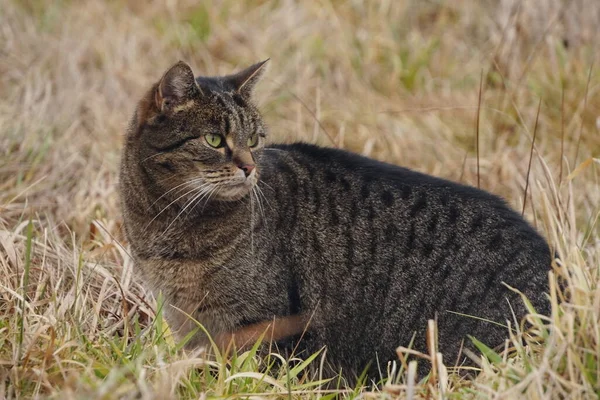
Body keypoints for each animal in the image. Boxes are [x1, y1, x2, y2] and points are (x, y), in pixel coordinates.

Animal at [120, 60, 552, 384]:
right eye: (213, 140)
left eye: (255, 140)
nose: (249, 167)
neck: (170, 222)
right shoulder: (189, 324)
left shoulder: (258, 325)